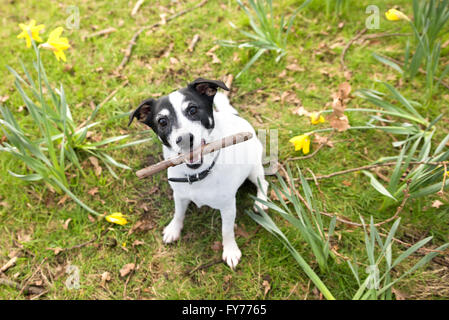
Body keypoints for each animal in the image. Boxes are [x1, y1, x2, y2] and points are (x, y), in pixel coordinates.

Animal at [128, 79, 268, 268]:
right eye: (162, 121)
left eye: (193, 110)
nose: (184, 139)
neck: (198, 174)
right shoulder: (179, 195)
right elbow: (178, 213)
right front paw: (174, 229)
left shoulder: (228, 207)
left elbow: (226, 230)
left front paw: (230, 250)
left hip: (254, 166)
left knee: (263, 182)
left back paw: (261, 201)